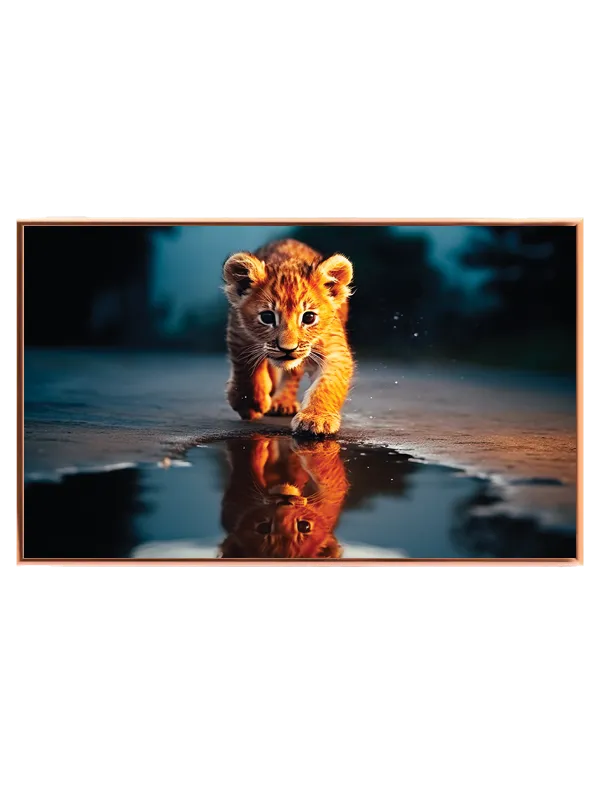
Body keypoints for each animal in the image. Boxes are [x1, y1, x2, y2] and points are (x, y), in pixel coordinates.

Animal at [219, 437, 349, 559]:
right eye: (263, 528)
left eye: (304, 526)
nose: (285, 500)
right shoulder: (237, 500)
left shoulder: (330, 497)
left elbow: (324, 470)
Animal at [223, 238, 354, 437]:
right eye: (267, 317)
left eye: (309, 317)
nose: (287, 349)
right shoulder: (239, 334)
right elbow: (245, 369)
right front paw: (250, 403)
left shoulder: (334, 350)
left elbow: (328, 385)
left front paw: (316, 419)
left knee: (292, 374)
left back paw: (283, 402)